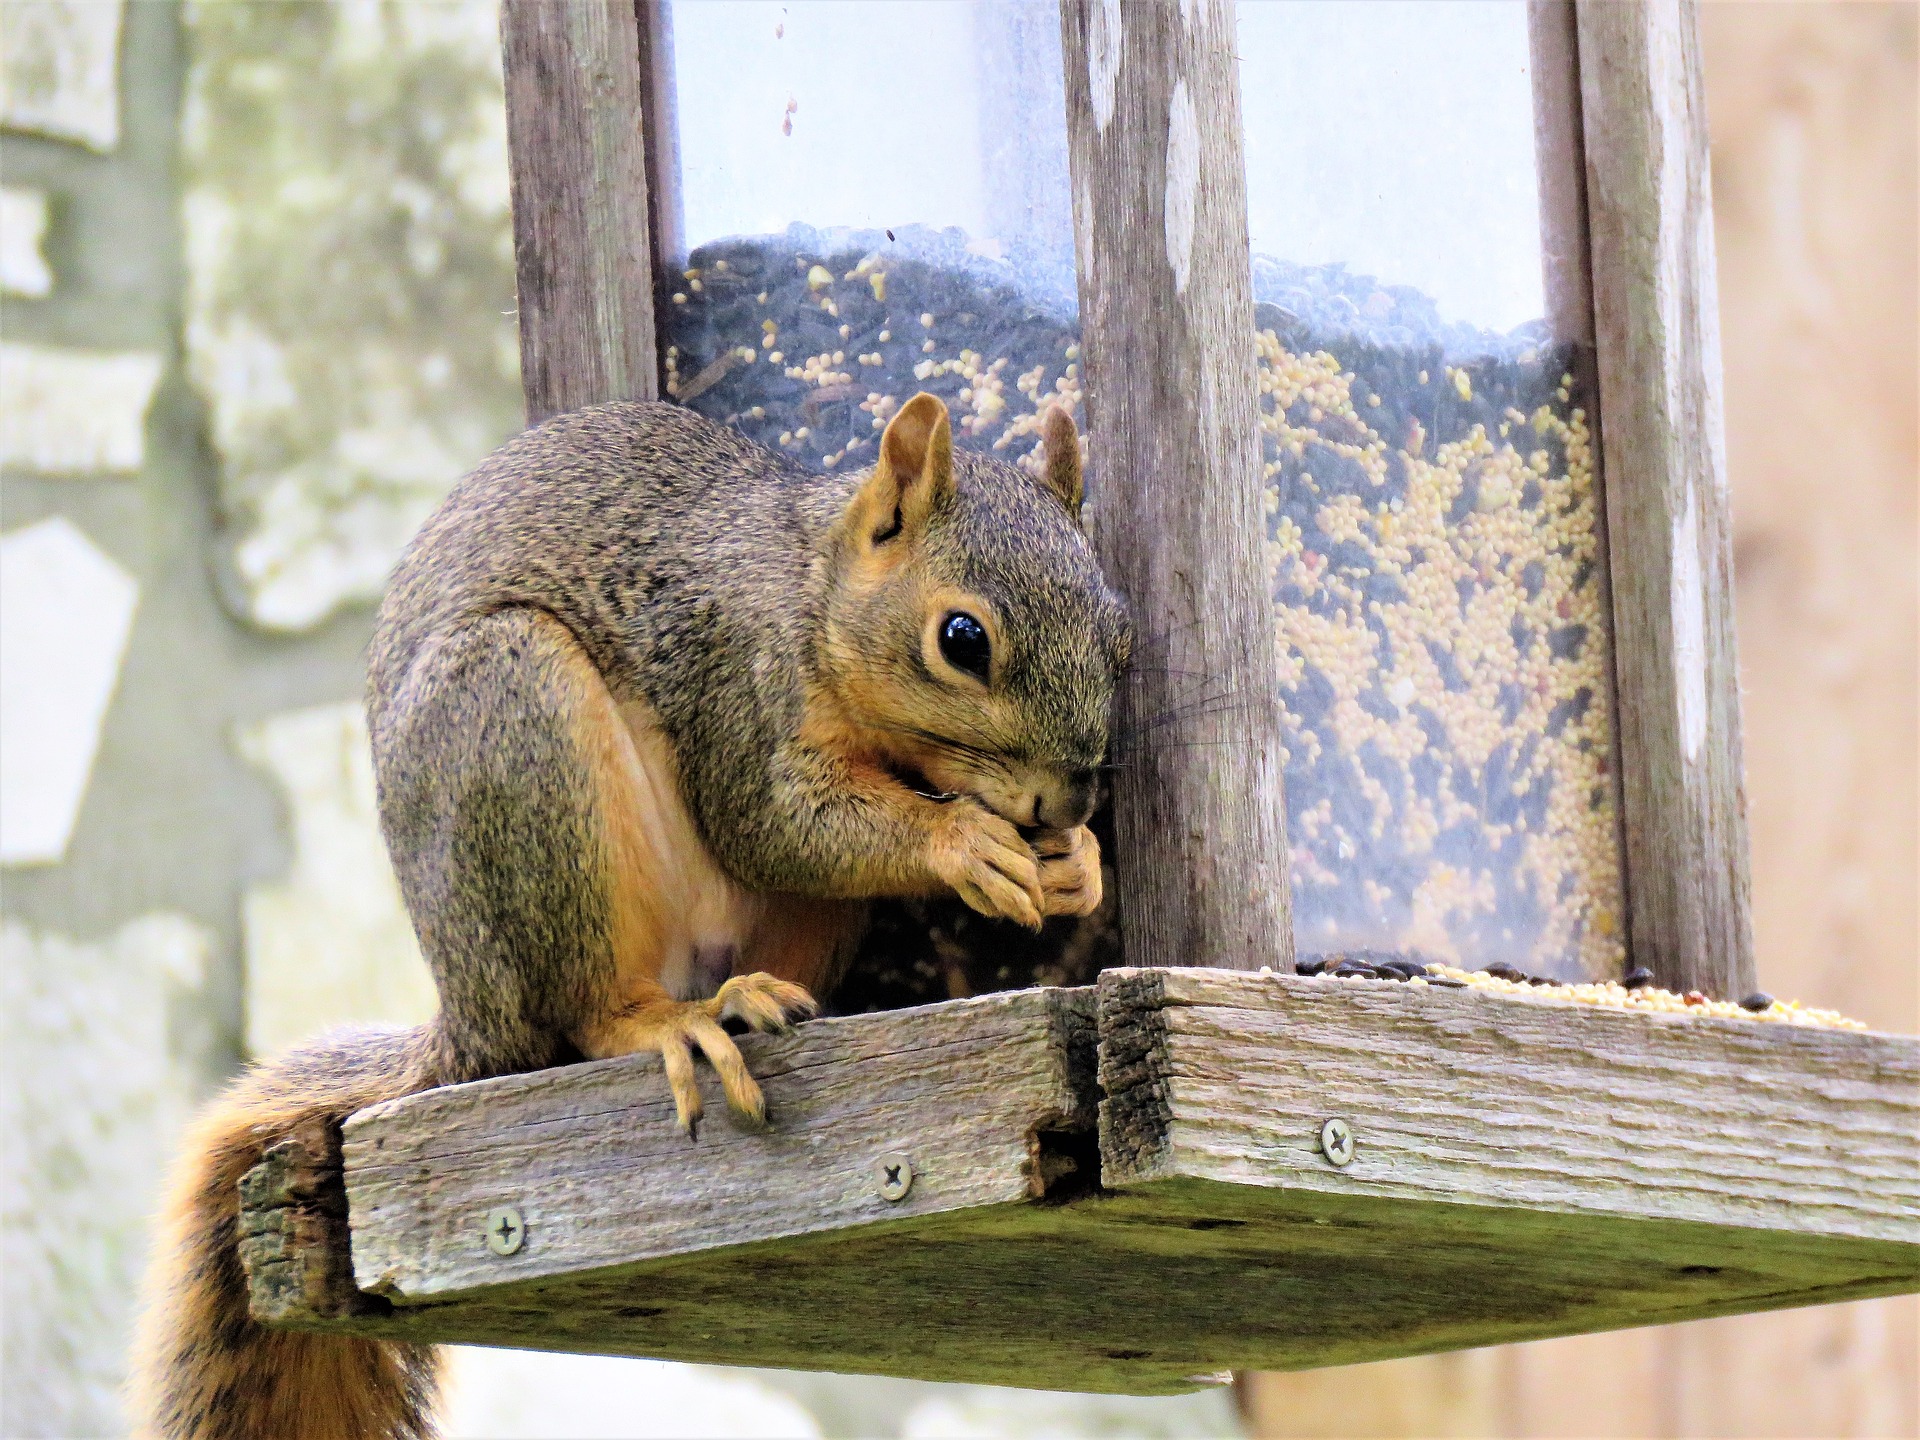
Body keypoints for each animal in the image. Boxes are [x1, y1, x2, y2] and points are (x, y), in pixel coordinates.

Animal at [135, 397, 1128, 1440]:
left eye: (1121, 633)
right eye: (962, 639)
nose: (1067, 802)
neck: (808, 592)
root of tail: (468, 1021)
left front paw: (1078, 865)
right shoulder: (734, 679)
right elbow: (776, 824)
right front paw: (964, 843)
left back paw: (756, 1000)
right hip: (518, 720)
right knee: (585, 1011)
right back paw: (677, 1022)